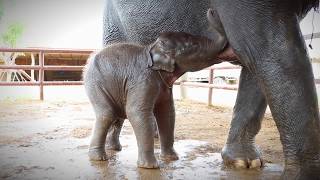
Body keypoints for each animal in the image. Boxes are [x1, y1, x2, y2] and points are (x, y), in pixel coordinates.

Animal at [84, 8, 236, 169]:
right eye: (194, 46)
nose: (212, 10)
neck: (153, 47)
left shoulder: (165, 87)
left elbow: (167, 113)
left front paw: (172, 158)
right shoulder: (143, 80)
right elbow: (137, 112)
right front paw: (150, 167)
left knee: (118, 115)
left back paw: (114, 149)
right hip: (95, 83)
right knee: (107, 113)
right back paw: (99, 158)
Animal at [101, 0, 318, 178]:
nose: (212, 12)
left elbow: (254, 62)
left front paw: (246, 163)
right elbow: (271, 49)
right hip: (113, 28)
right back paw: (114, 148)